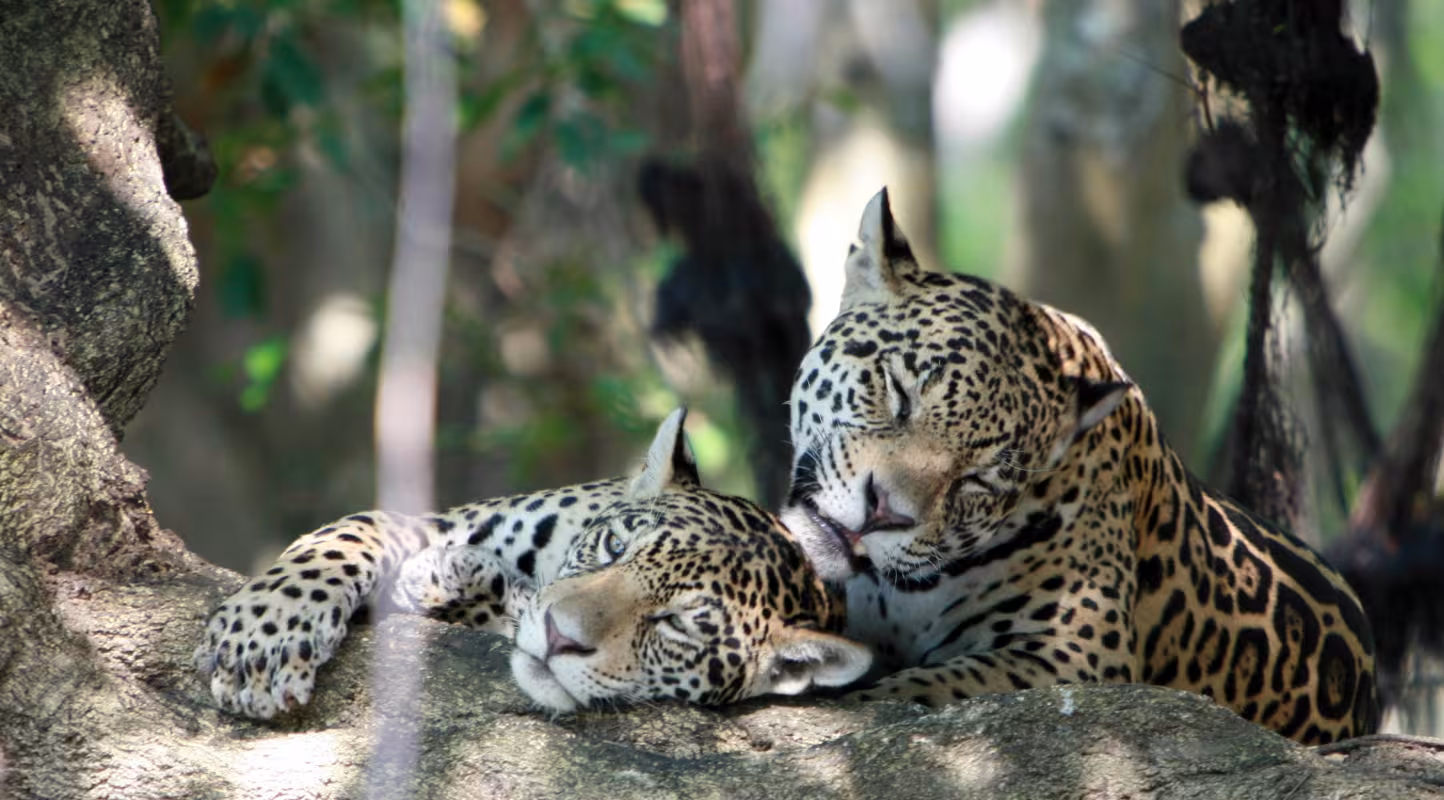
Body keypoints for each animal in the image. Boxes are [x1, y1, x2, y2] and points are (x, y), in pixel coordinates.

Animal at [197, 408, 870, 719]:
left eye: (681, 626)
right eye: (614, 546)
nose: (557, 636)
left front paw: (451, 582)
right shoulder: (425, 519)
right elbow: (340, 543)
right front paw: (262, 638)